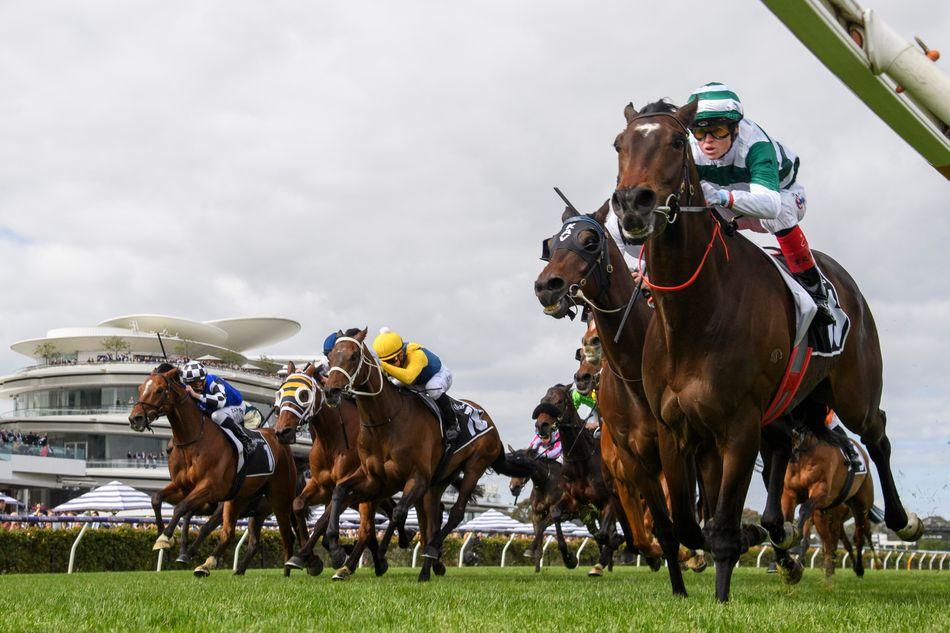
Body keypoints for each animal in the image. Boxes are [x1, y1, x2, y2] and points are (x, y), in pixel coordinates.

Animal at [127, 362, 298, 576]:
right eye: (140, 388)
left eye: (159, 390)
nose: (135, 419)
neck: (194, 441)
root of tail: (279, 440)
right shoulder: (183, 487)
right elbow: (157, 499)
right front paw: (164, 538)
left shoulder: (211, 488)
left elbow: (183, 510)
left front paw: (168, 539)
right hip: (242, 501)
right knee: (233, 535)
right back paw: (213, 566)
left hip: (278, 498)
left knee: (286, 534)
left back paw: (289, 569)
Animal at [274, 358, 410, 576]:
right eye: (280, 392)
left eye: (303, 394)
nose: (282, 432)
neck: (332, 438)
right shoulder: (321, 485)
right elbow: (298, 505)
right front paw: (311, 559)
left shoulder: (346, 486)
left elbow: (323, 520)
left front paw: (326, 555)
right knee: (382, 516)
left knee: (370, 527)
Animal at [326, 328, 520, 580]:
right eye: (330, 357)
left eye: (353, 357)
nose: (331, 391)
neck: (386, 422)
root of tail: (488, 420)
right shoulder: (373, 478)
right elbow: (340, 491)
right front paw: (336, 550)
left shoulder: (415, 478)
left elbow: (398, 513)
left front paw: (382, 554)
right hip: (437, 482)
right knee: (432, 517)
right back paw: (428, 568)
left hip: (474, 465)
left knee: (455, 513)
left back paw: (431, 552)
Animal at [604, 97, 924, 596]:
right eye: (620, 144)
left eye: (676, 141)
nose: (633, 203)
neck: (696, 313)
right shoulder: (675, 429)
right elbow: (687, 524)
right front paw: (755, 538)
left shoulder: (738, 425)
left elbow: (719, 529)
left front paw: (723, 593)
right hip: (786, 405)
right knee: (781, 448)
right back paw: (780, 531)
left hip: (854, 395)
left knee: (878, 433)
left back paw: (902, 520)